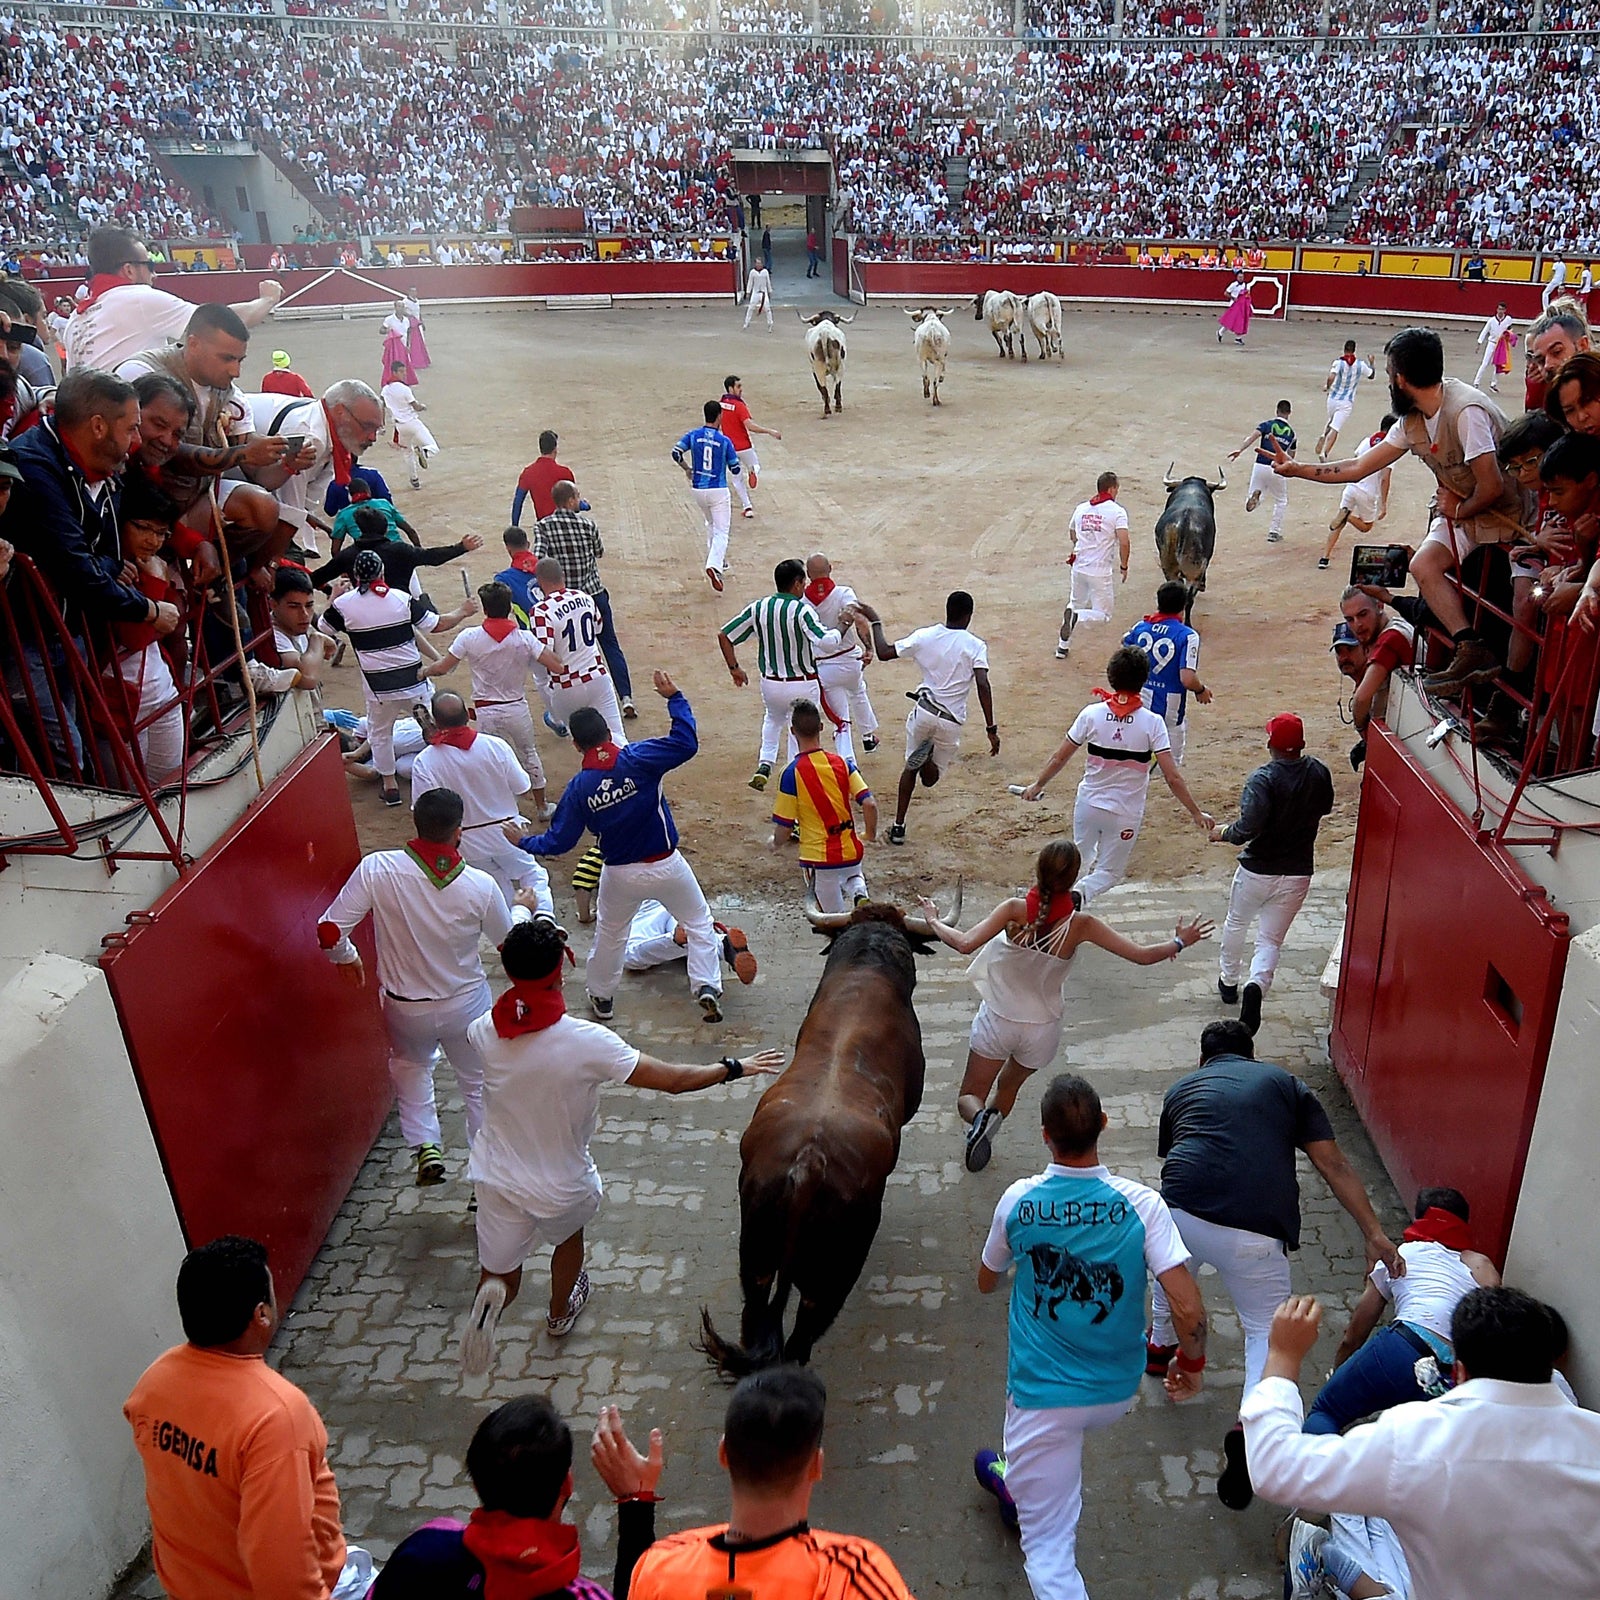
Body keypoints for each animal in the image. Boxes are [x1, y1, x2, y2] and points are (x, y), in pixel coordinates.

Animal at [694, 889, 953, 1376]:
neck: (867, 970)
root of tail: (808, 1165)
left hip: (755, 1255)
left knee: (757, 1313)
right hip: (832, 1272)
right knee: (803, 1332)